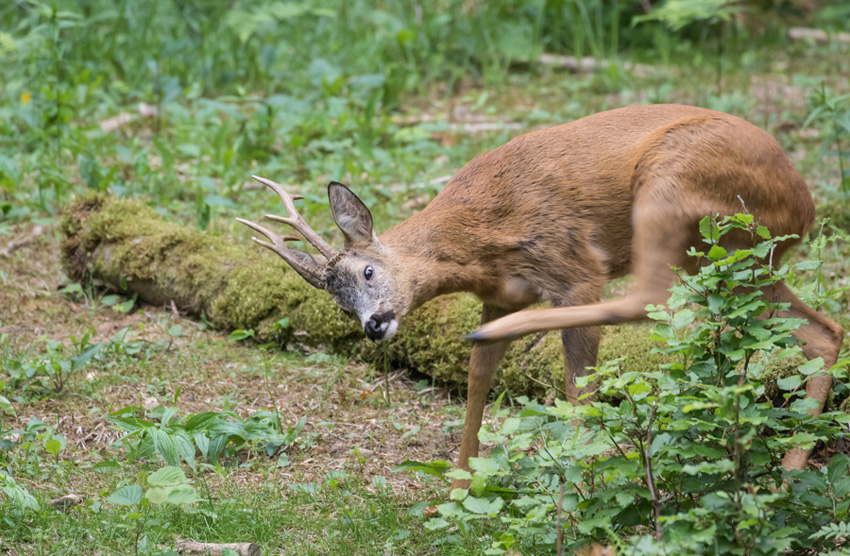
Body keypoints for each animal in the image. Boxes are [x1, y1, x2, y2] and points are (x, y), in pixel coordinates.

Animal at [237, 103, 840, 486]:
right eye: (339, 304)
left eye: (366, 271)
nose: (373, 326)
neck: (477, 242)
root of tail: (805, 202)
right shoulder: (500, 293)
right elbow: (478, 373)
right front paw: (458, 488)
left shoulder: (572, 265)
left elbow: (578, 384)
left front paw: (576, 484)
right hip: (739, 260)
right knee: (825, 331)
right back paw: (787, 475)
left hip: (671, 188)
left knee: (646, 298)